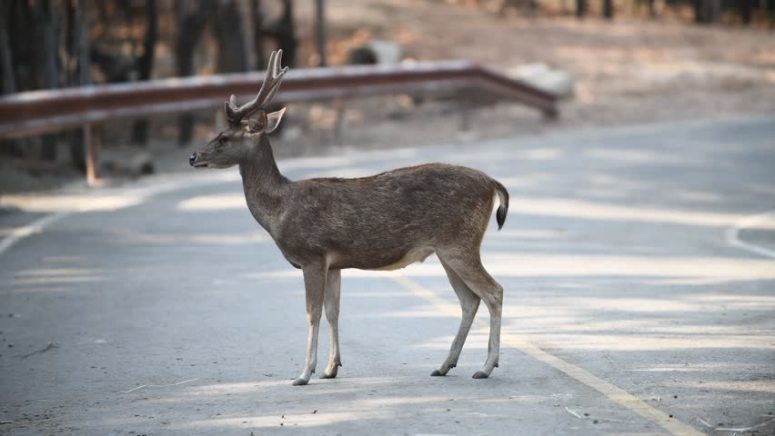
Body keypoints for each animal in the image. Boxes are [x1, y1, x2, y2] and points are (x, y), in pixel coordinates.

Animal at [189, 50, 509, 386]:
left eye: (224, 137)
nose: (193, 156)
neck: (279, 211)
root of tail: (492, 183)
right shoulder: (334, 263)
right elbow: (334, 311)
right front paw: (331, 368)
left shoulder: (312, 255)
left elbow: (312, 312)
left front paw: (304, 372)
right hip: (447, 249)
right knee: (469, 300)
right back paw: (445, 364)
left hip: (460, 242)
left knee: (493, 291)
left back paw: (486, 366)